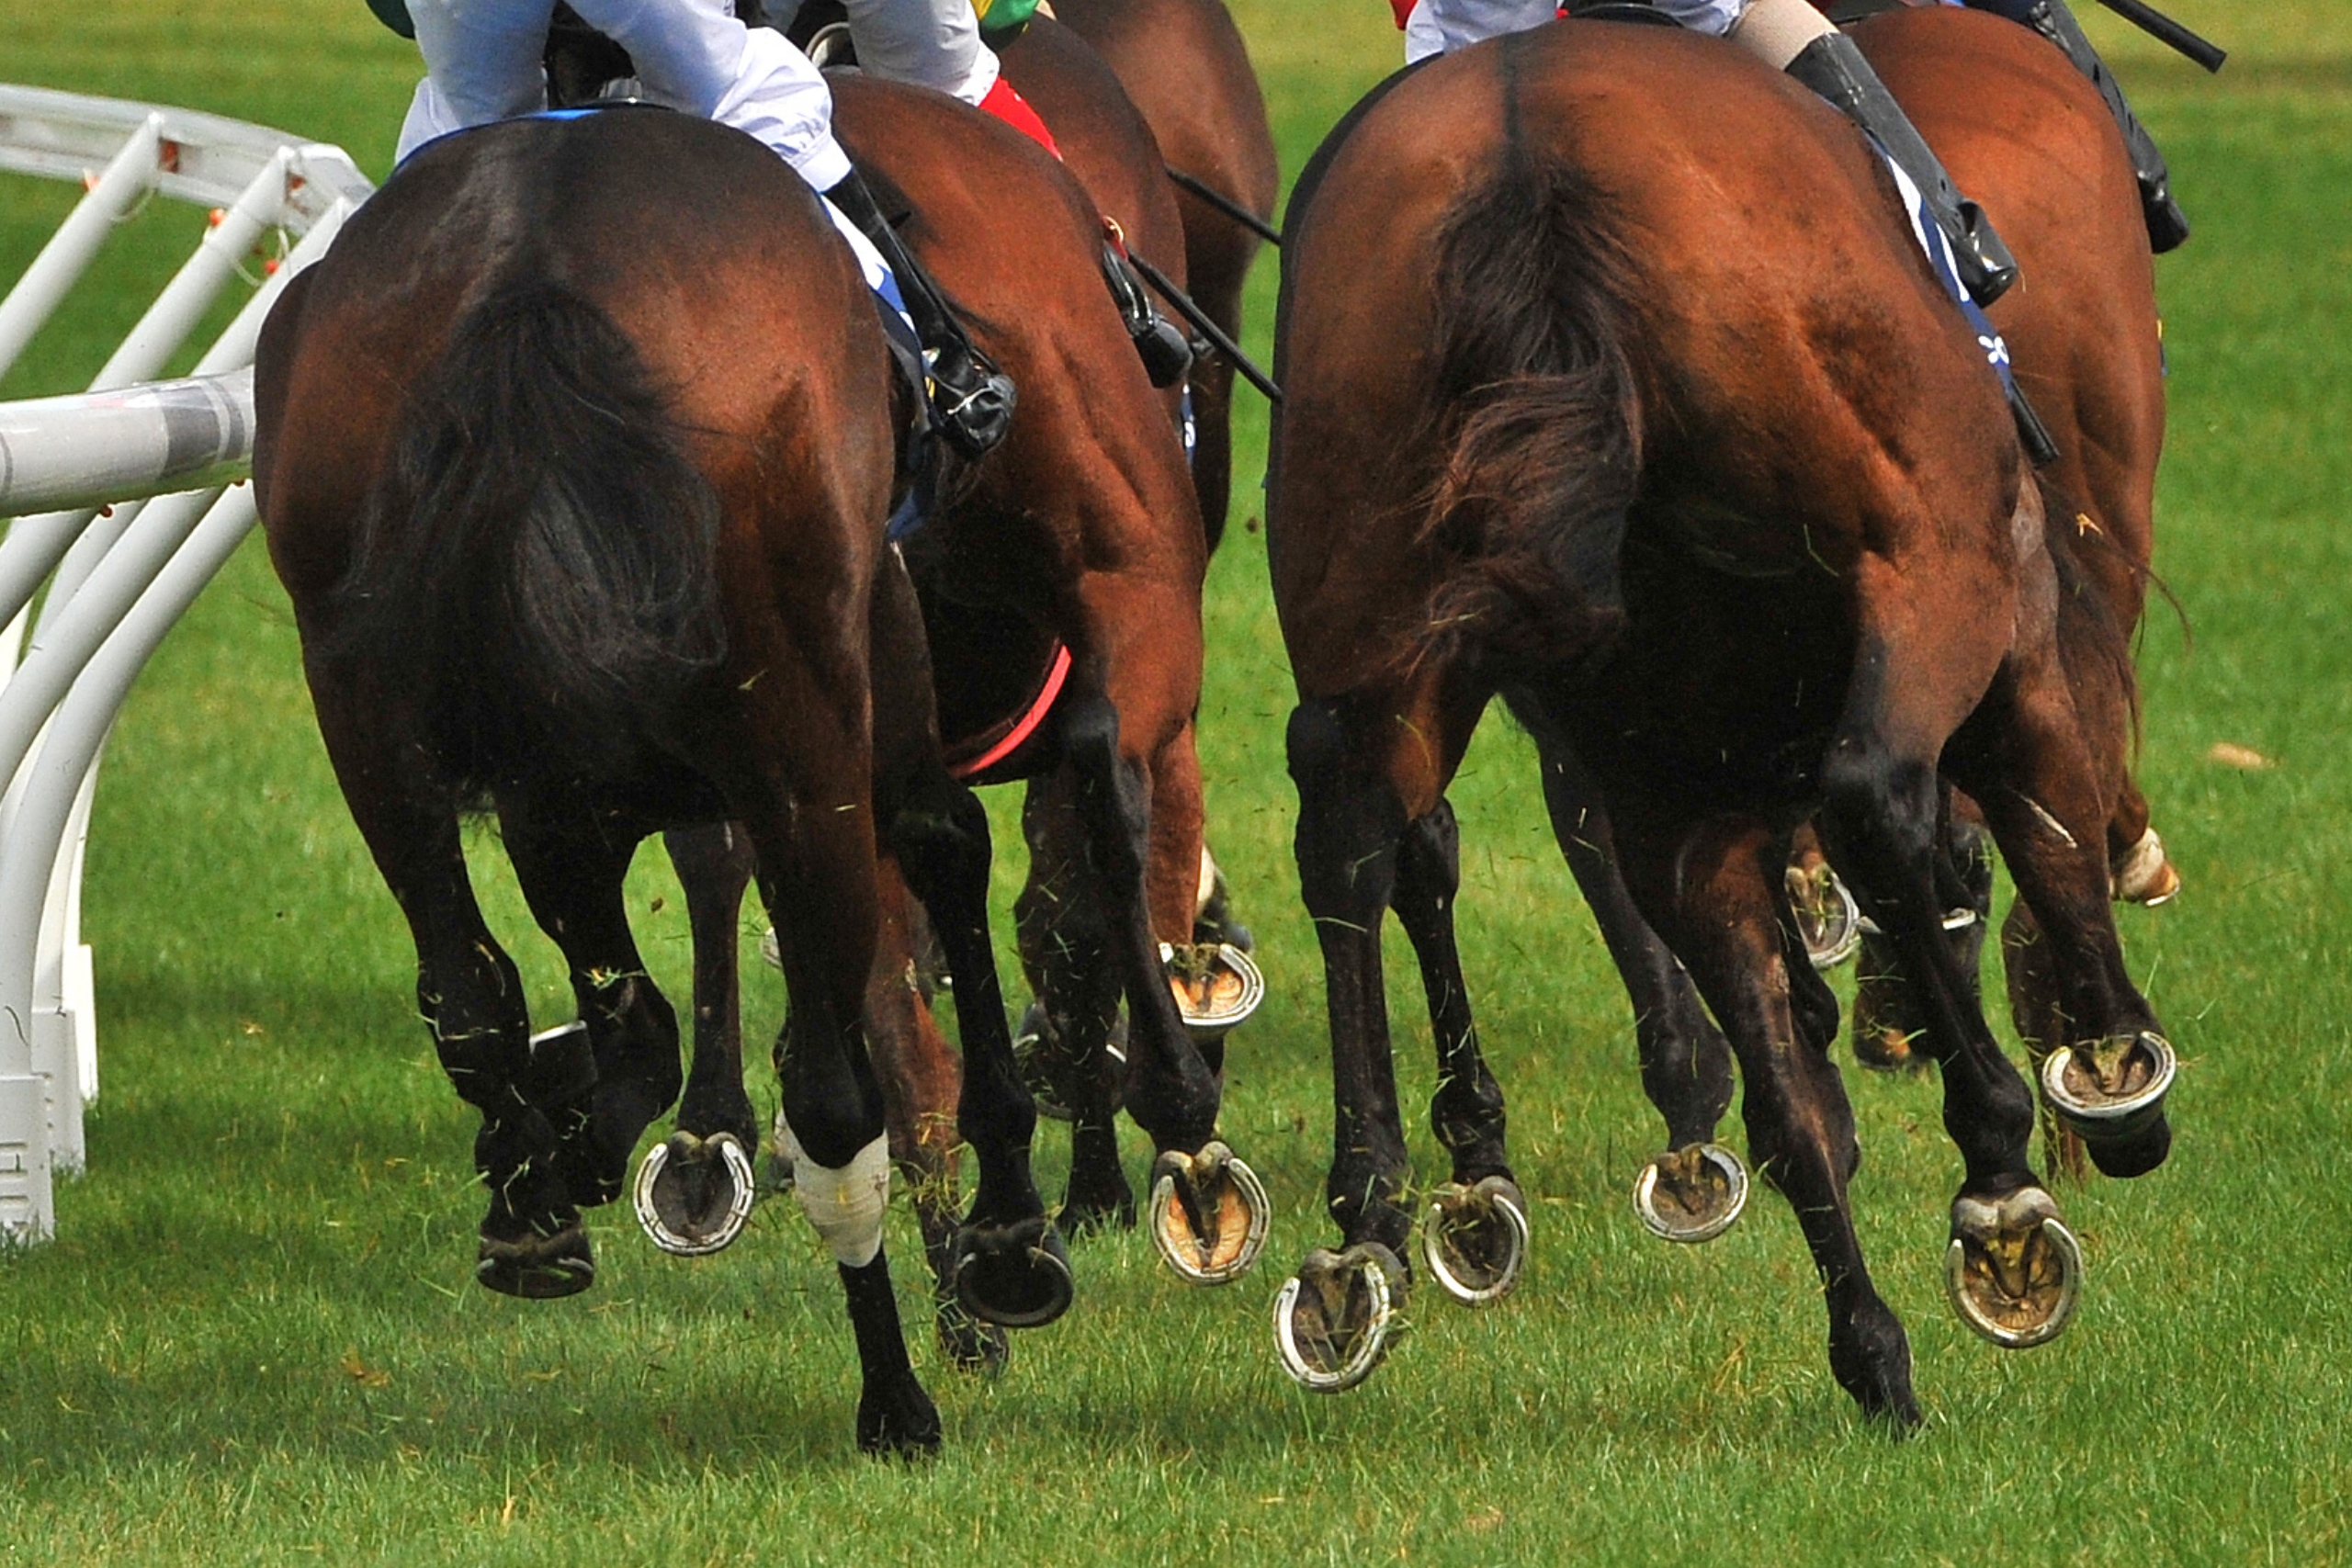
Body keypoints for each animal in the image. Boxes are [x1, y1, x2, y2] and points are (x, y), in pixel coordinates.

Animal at [252, 105, 1074, 1455]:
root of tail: (529, 282)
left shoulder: (555, 795)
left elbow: (622, 1021)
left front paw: (558, 1160)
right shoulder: (867, 641)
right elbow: (943, 844)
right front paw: (1006, 1237)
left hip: (364, 702)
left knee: (467, 984)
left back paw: (542, 1198)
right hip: (798, 712)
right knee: (838, 1084)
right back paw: (894, 1396)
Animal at [1264, 16, 2175, 1423]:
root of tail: (1530, 167)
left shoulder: (1670, 785)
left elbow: (1784, 1044)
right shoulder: (2004, 614)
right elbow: (2040, 825)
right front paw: (2099, 1079)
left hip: (1387, 611)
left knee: (1356, 829)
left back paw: (1367, 1228)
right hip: (1928, 572)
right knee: (1877, 793)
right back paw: (1998, 1162)